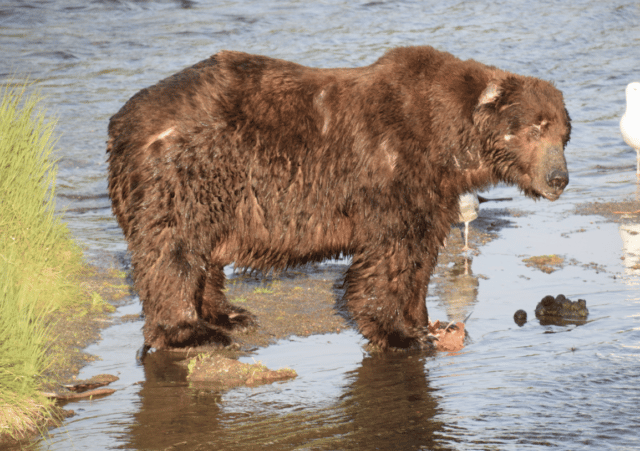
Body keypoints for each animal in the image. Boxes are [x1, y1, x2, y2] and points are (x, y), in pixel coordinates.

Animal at [107, 45, 572, 350]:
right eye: (534, 128)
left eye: (563, 134)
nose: (558, 178)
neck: (450, 142)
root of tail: (121, 121)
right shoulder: (395, 169)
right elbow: (392, 251)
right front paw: (400, 333)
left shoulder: (436, 191)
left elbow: (421, 253)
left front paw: (423, 320)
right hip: (186, 172)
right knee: (174, 249)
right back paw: (192, 330)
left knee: (203, 251)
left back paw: (230, 314)